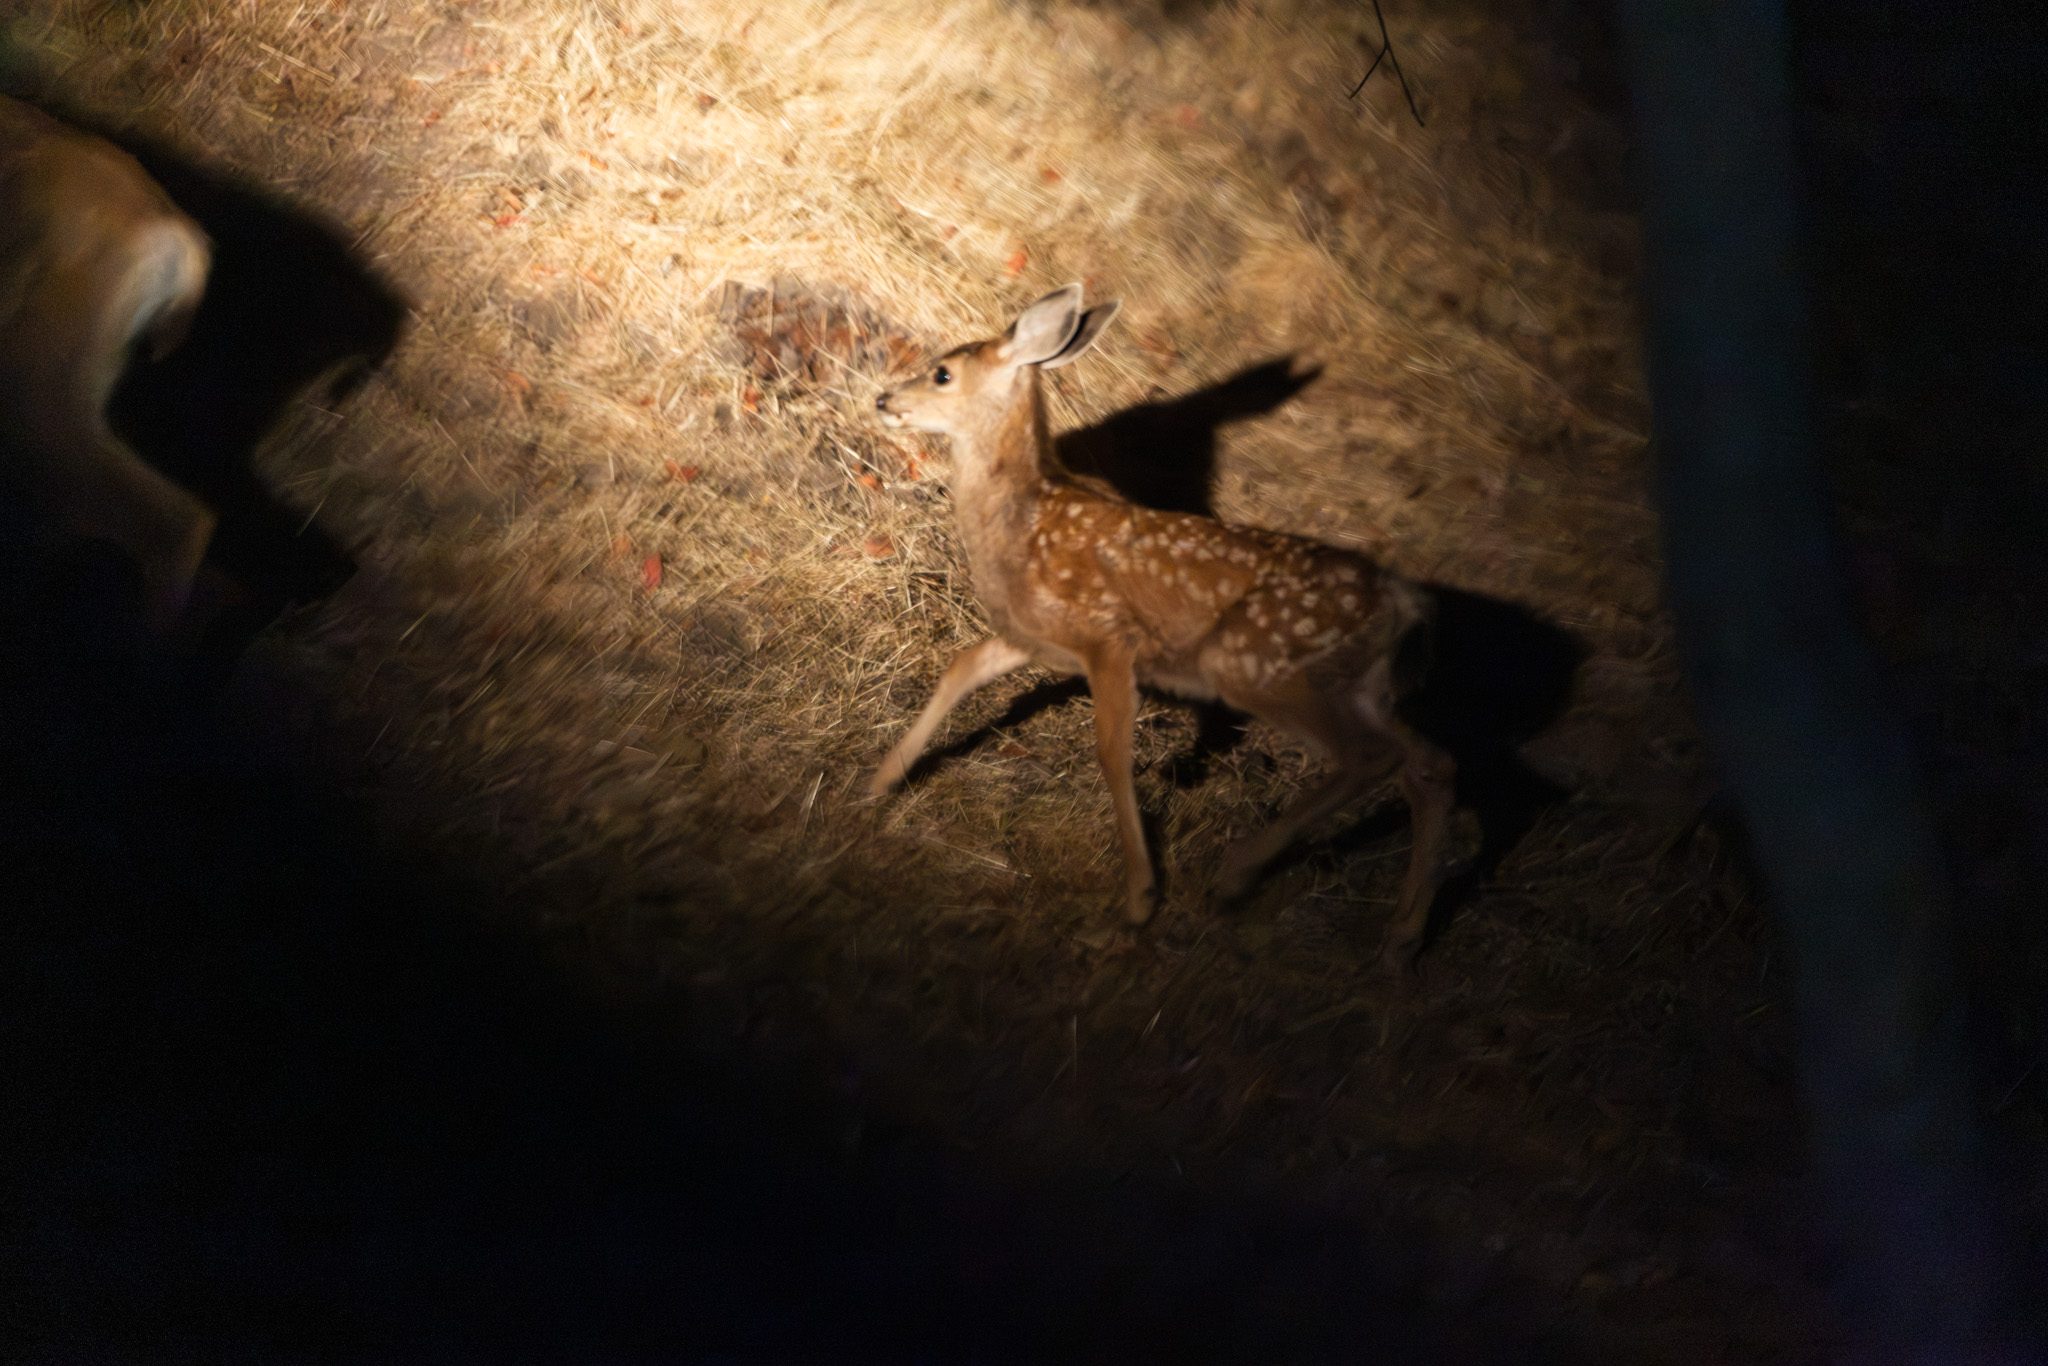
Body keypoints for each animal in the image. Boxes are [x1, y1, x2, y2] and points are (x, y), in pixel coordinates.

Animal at [870, 284, 1458, 973]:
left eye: (942, 373)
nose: (883, 400)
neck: (1025, 523)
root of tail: (1403, 600)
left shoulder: (1108, 636)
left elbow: (1111, 752)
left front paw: (1136, 904)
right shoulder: (1038, 635)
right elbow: (961, 667)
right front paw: (879, 782)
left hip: (1257, 664)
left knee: (1372, 756)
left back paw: (1237, 875)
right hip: (1359, 685)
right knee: (1430, 765)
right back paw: (1402, 939)